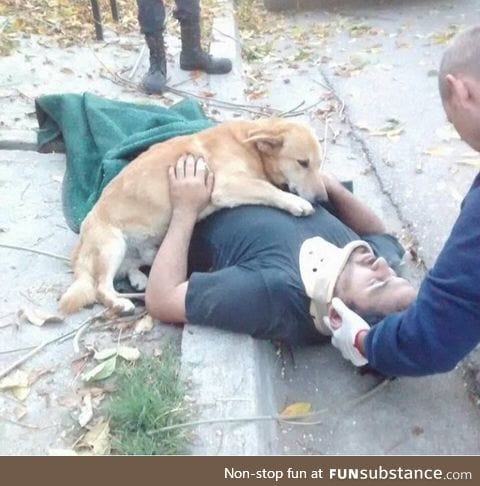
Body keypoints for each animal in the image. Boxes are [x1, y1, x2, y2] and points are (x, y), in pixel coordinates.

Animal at [59, 117, 326, 316]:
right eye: (303, 162)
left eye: (318, 164)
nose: (323, 199)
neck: (249, 146)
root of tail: (80, 245)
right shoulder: (226, 186)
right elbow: (267, 189)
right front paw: (296, 202)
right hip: (112, 244)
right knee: (101, 287)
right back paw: (120, 302)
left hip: (144, 250)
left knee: (127, 268)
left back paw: (138, 279)